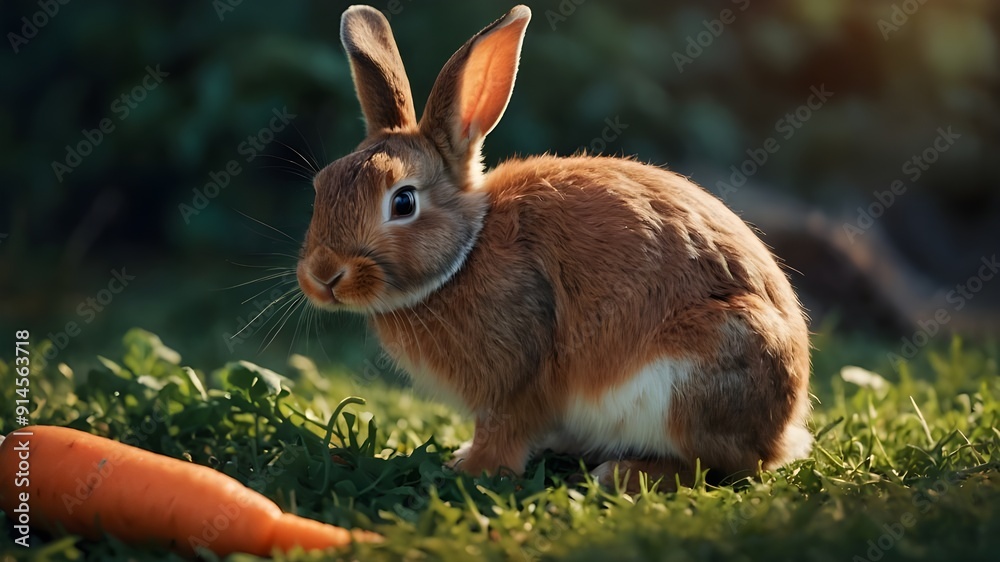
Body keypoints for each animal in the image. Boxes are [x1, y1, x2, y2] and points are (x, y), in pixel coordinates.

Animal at [296, 4, 813, 489]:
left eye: (403, 202)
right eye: (320, 187)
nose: (323, 275)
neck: (465, 253)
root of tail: (782, 431)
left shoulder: (515, 376)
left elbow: (503, 429)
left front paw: (471, 468)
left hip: (691, 379)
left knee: (715, 467)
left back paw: (621, 474)